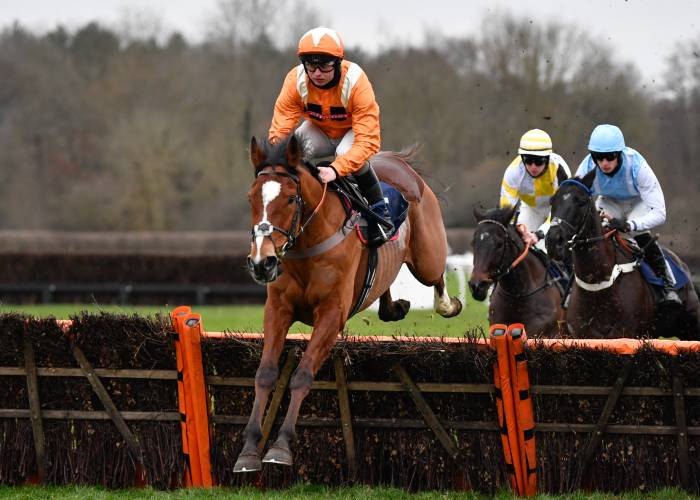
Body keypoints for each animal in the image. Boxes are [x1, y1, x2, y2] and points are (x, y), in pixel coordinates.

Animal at [237, 135, 464, 470]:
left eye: (291, 199)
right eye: (251, 199)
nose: (261, 263)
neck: (309, 243)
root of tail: (399, 162)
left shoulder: (332, 314)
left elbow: (302, 375)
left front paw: (281, 447)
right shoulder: (277, 310)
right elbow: (265, 374)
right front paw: (250, 448)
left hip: (428, 257)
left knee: (437, 278)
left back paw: (449, 305)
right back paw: (392, 307)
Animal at [548, 169, 700, 340]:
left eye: (581, 202)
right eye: (552, 200)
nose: (553, 241)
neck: (598, 286)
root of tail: (683, 265)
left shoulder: (625, 333)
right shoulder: (584, 335)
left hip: (691, 327)